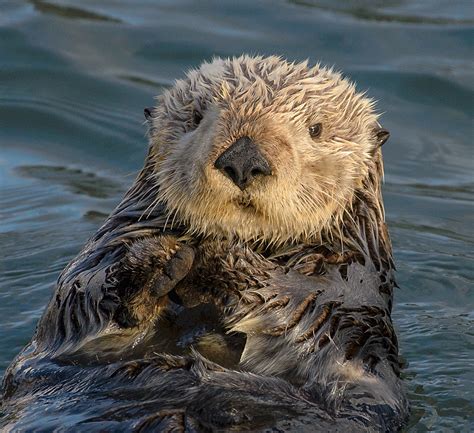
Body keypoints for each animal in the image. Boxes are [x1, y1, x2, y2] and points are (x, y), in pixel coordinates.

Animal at [0, 55, 408, 430]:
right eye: (196, 117)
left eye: (316, 128)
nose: (243, 159)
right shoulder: (100, 257)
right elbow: (76, 301)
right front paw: (157, 262)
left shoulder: (350, 298)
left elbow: (306, 311)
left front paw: (214, 261)